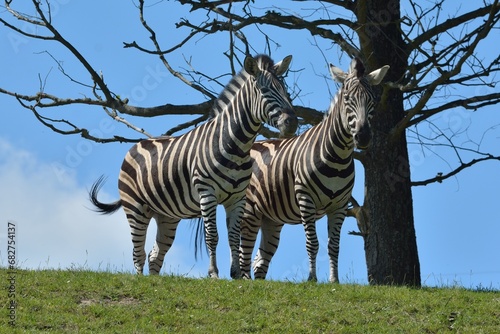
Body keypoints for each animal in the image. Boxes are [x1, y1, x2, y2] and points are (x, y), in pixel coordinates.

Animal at [89, 55, 296, 280]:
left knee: (155, 254)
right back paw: (140, 280)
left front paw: (236, 275)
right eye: (264, 90)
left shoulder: (237, 197)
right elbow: (212, 236)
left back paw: (155, 280)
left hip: (167, 215)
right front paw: (214, 274)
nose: (292, 123)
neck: (237, 146)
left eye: (286, 90)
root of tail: (136, 146)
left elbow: (234, 236)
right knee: (138, 252)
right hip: (135, 208)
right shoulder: (207, 193)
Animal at [239, 57, 390, 282]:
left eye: (372, 100)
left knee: (260, 259)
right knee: (244, 250)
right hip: (250, 210)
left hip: (271, 218)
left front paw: (334, 280)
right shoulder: (306, 200)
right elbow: (313, 243)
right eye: (347, 98)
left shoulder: (339, 206)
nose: (363, 137)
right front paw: (312, 279)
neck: (338, 157)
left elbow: (333, 246)